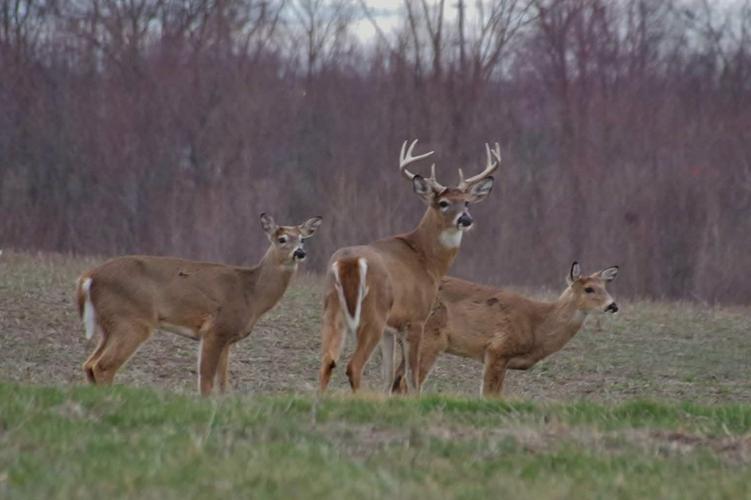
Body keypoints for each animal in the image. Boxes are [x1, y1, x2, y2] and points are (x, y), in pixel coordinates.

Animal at [76, 213, 322, 396]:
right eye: (282, 239)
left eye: (302, 239)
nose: (300, 253)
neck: (251, 294)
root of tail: (89, 277)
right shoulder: (215, 330)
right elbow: (206, 382)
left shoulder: (227, 338)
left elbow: (223, 384)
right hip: (132, 320)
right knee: (103, 366)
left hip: (110, 324)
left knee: (89, 364)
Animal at [319, 139, 501, 395]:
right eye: (443, 203)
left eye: (466, 202)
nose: (465, 219)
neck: (427, 261)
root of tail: (349, 262)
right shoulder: (416, 318)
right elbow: (411, 376)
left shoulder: (390, 328)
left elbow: (387, 377)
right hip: (373, 313)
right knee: (353, 366)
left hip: (332, 309)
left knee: (327, 361)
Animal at [398, 261, 619, 397]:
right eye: (589, 289)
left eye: (605, 287)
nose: (613, 305)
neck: (537, 324)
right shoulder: (497, 350)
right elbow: (488, 395)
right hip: (430, 337)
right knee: (408, 382)